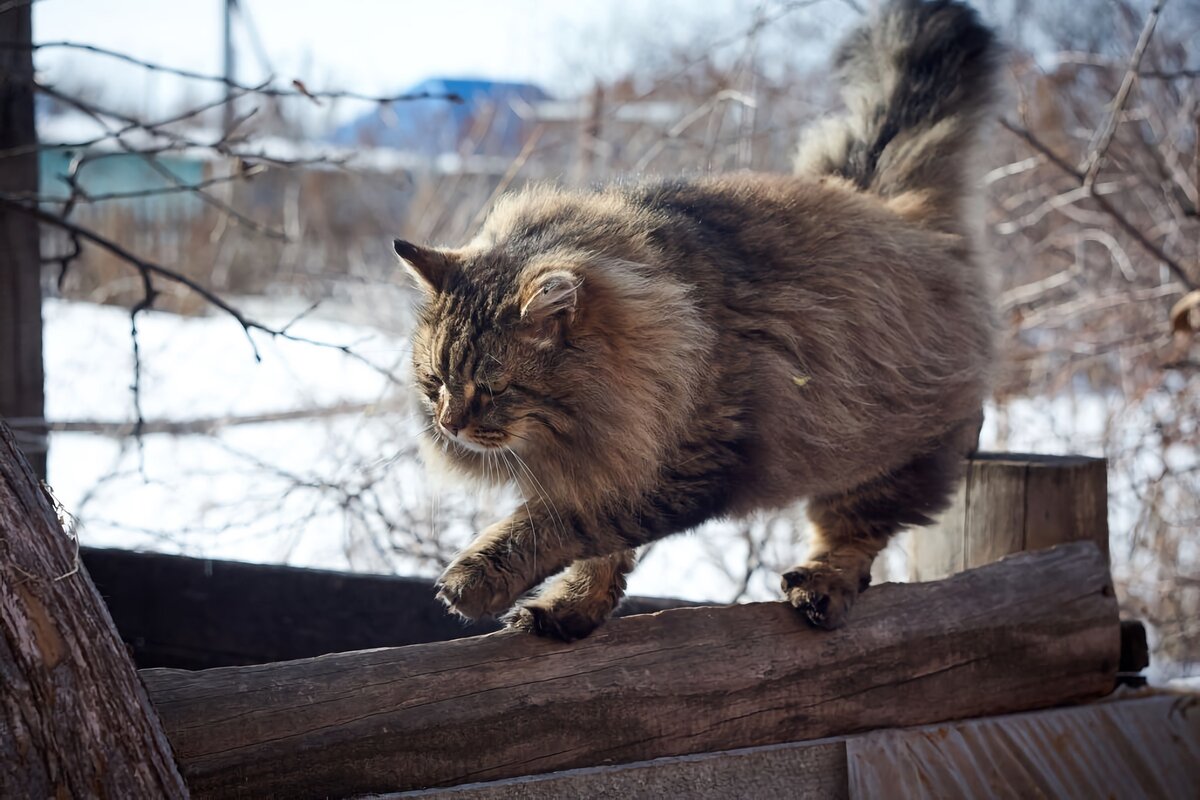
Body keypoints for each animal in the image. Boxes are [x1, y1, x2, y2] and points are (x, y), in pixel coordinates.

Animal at [396, 0, 1003, 642]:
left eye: (492, 390)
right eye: (434, 385)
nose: (449, 425)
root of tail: (886, 201)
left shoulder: (680, 466)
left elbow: (559, 524)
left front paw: (473, 581)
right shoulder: (614, 460)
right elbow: (598, 552)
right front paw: (571, 609)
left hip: (883, 448)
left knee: (853, 534)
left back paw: (820, 587)